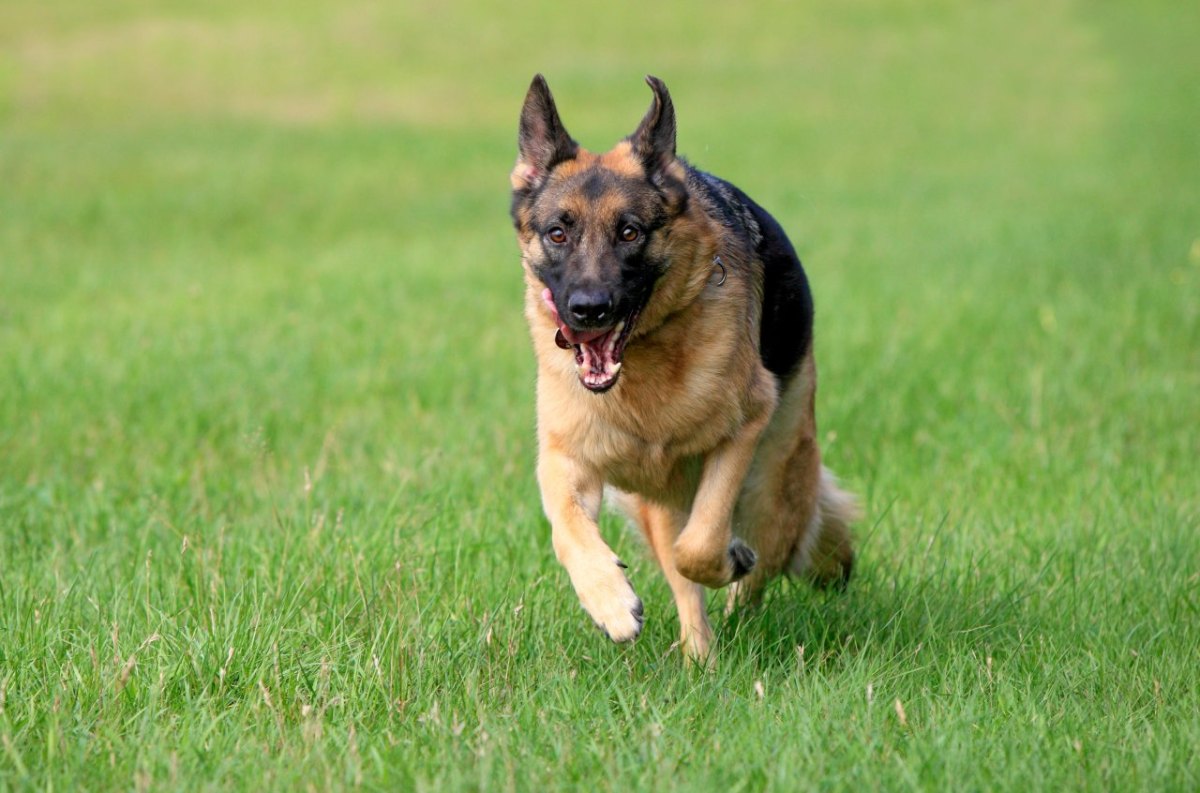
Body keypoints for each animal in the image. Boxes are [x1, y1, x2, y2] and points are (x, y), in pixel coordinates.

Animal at [511, 74, 859, 657]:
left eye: (630, 232)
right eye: (558, 233)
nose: (588, 310)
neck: (642, 368)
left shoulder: (742, 432)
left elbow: (701, 544)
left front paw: (727, 561)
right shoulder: (566, 459)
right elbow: (568, 531)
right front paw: (610, 602)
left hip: (772, 486)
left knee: (754, 562)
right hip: (659, 505)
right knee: (685, 582)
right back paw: (701, 657)